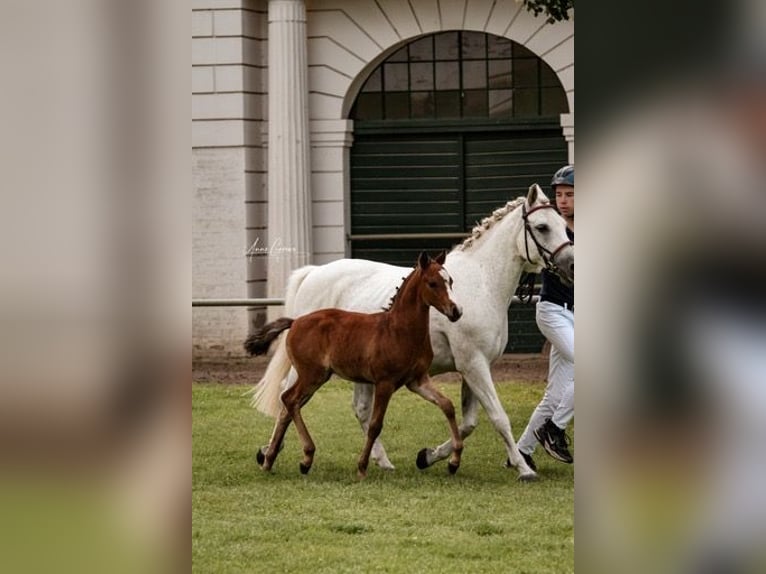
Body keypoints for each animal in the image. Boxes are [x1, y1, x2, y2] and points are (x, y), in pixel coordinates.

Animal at [244, 253, 462, 482]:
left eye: (451, 281)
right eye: (432, 283)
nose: (455, 311)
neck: (399, 330)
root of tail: (295, 322)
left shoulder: (417, 380)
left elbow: (447, 405)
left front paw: (454, 462)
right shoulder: (385, 383)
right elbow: (375, 425)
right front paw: (362, 467)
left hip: (317, 377)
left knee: (288, 405)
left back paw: (269, 461)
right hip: (312, 375)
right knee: (289, 399)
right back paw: (306, 458)